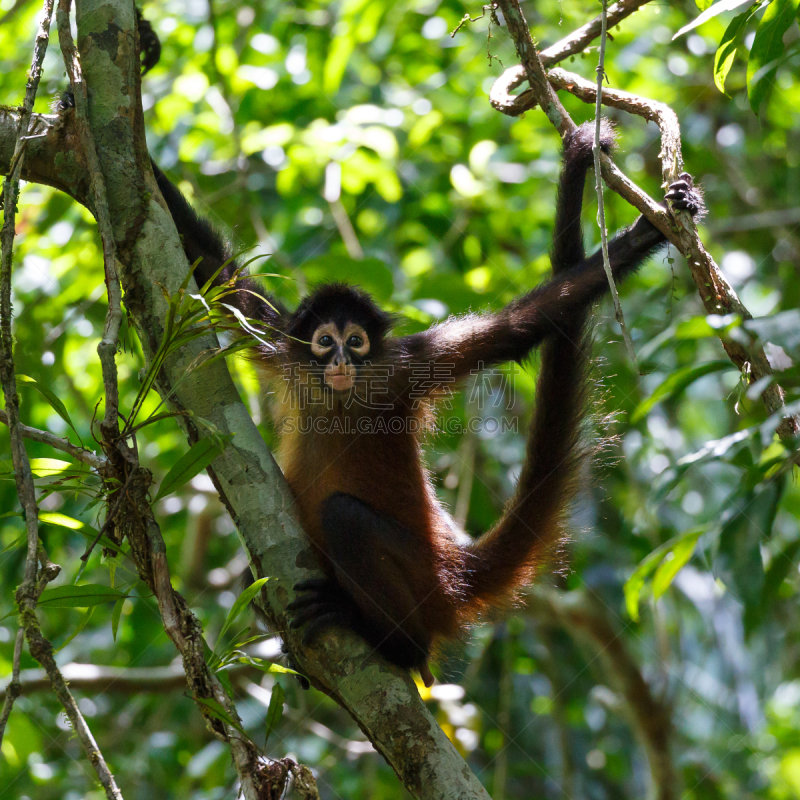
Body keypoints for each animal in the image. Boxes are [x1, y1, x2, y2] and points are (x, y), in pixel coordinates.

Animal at [125, 9, 700, 688]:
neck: (342, 395)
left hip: (415, 579)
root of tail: (452, 575)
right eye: (325, 342)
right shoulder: (289, 350)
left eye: (355, 342)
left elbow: (523, 326)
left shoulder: (404, 365)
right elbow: (215, 274)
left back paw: (398, 645)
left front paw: (641, 237)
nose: (340, 362)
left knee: (345, 520)